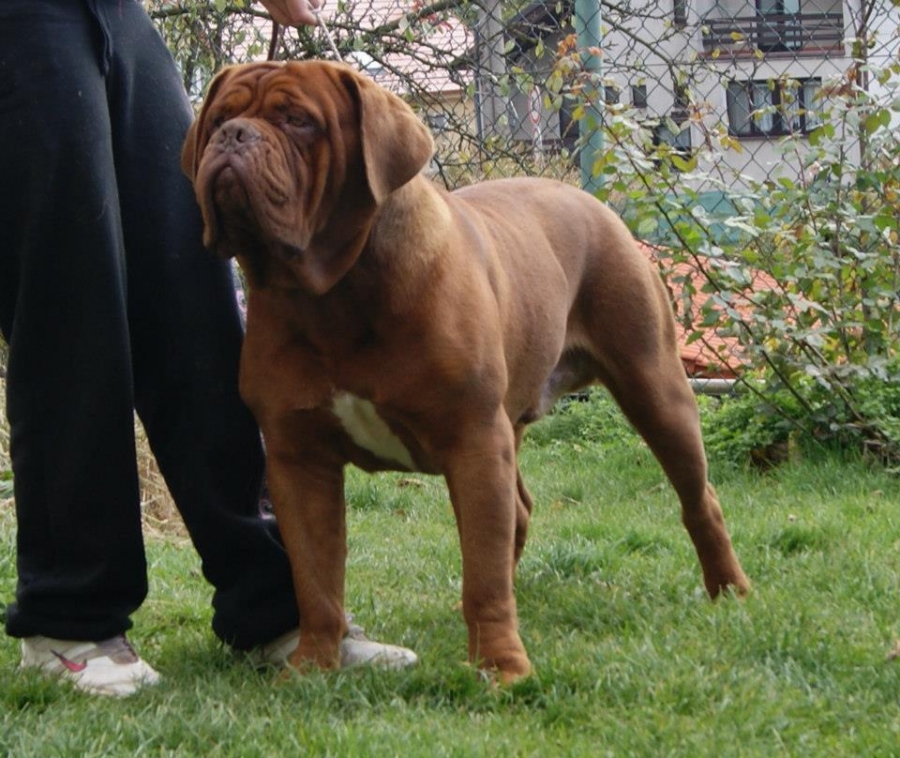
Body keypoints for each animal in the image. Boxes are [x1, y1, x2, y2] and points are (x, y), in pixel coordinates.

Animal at [182, 60, 750, 683]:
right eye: (217, 117)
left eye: (298, 121)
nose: (232, 135)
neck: (332, 295)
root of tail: (587, 198)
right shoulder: (298, 459)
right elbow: (317, 578)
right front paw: (312, 665)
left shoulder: (473, 438)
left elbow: (481, 571)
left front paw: (501, 667)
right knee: (518, 515)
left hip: (653, 385)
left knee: (698, 498)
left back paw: (730, 590)